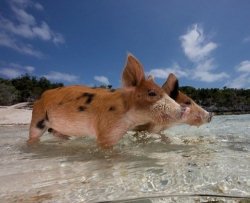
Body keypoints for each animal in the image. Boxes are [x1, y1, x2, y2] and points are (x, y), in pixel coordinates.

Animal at [27, 54, 189, 148]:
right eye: (152, 93)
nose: (184, 109)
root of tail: (41, 96)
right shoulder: (106, 130)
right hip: (37, 119)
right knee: (34, 136)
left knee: (54, 132)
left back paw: (68, 139)